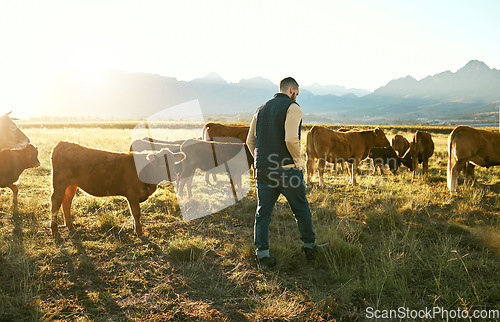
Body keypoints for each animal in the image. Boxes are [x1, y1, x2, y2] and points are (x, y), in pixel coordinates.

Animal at [50, 141, 186, 236]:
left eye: (173, 162)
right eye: (162, 163)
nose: (175, 176)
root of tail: (63, 144)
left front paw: (135, 229)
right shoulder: (132, 193)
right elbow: (136, 213)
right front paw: (139, 232)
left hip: (71, 185)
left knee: (66, 203)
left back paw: (71, 227)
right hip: (60, 183)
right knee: (56, 201)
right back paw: (54, 229)